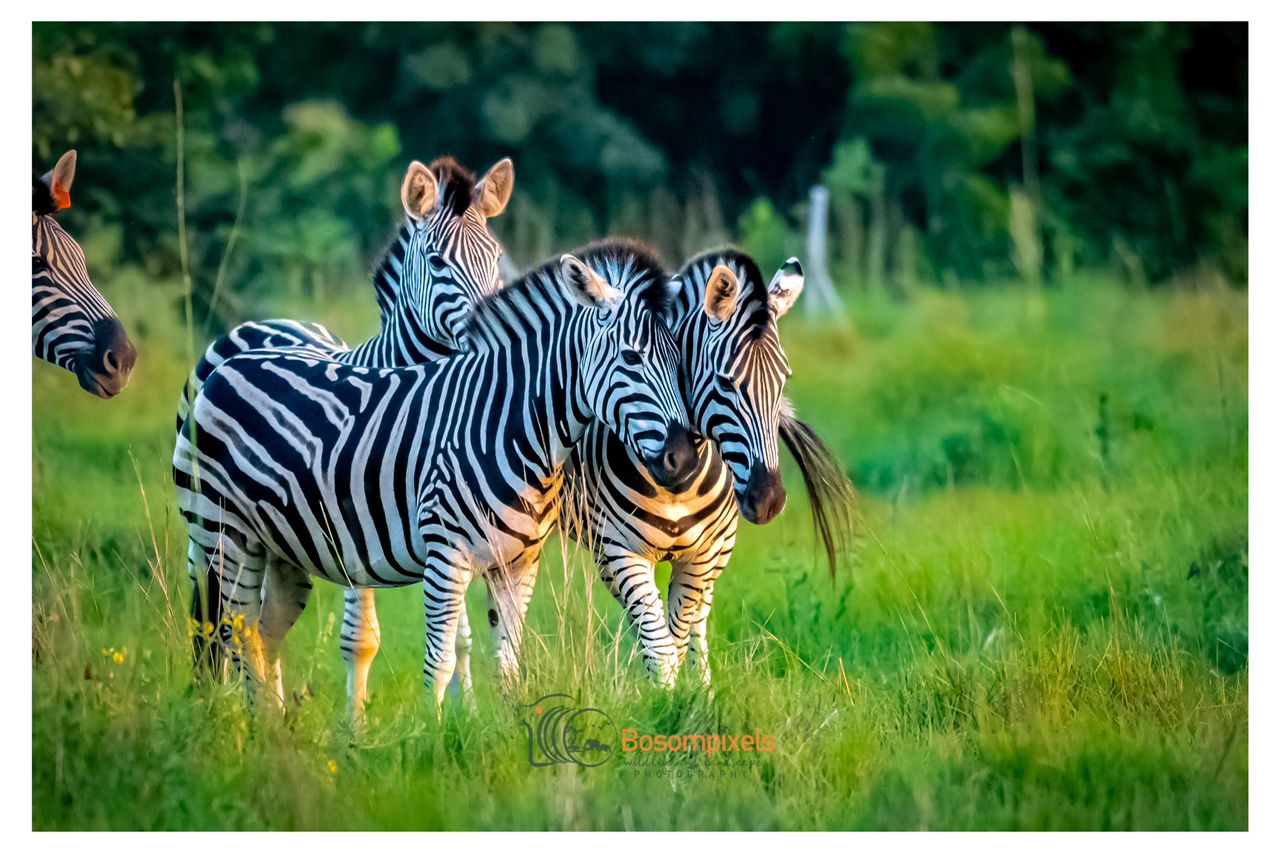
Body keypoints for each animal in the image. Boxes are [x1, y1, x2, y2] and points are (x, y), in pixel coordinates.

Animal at [173, 239, 699, 712]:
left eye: (681, 362)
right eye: (632, 357)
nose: (685, 459)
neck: (512, 426)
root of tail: (227, 364)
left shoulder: (519, 564)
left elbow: (508, 663)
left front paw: (506, 735)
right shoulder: (446, 557)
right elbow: (440, 664)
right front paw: (438, 735)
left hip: (280, 549)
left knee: (262, 635)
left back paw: (274, 731)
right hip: (224, 537)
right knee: (232, 634)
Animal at [177, 155, 514, 688]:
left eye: (497, 259)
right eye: (437, 262)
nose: (494, 332)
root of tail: (264, 323)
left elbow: (459, 636)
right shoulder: (357, 523)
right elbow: (361, 639)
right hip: (207, 525)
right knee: (214, 618)